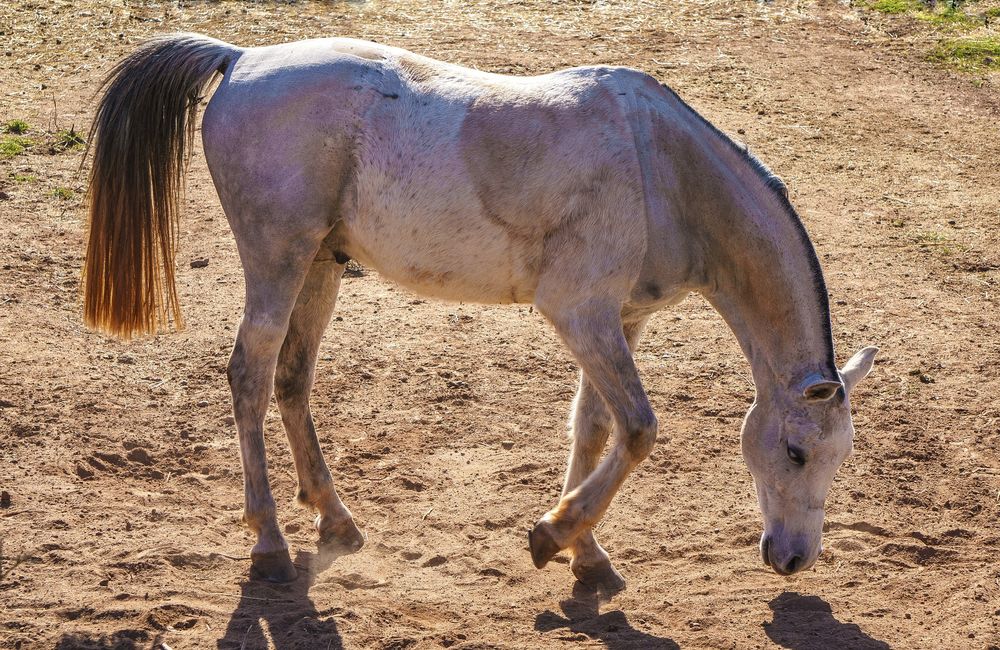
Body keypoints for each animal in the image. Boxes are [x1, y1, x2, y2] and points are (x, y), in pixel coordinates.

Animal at [83, 33, 878, 591]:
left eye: (840, 458)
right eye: (797, 452)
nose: (794, 560)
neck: (661, 171)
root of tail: (241, 58)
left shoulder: (619, 322)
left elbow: (596, 428)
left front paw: (586, 554)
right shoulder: (580, 315)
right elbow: (640, 430)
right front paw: (552, 537)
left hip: (319, 267)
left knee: (291, 381)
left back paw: (335, 519)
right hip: (276, 264)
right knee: (249, 377)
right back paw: (271, 543)